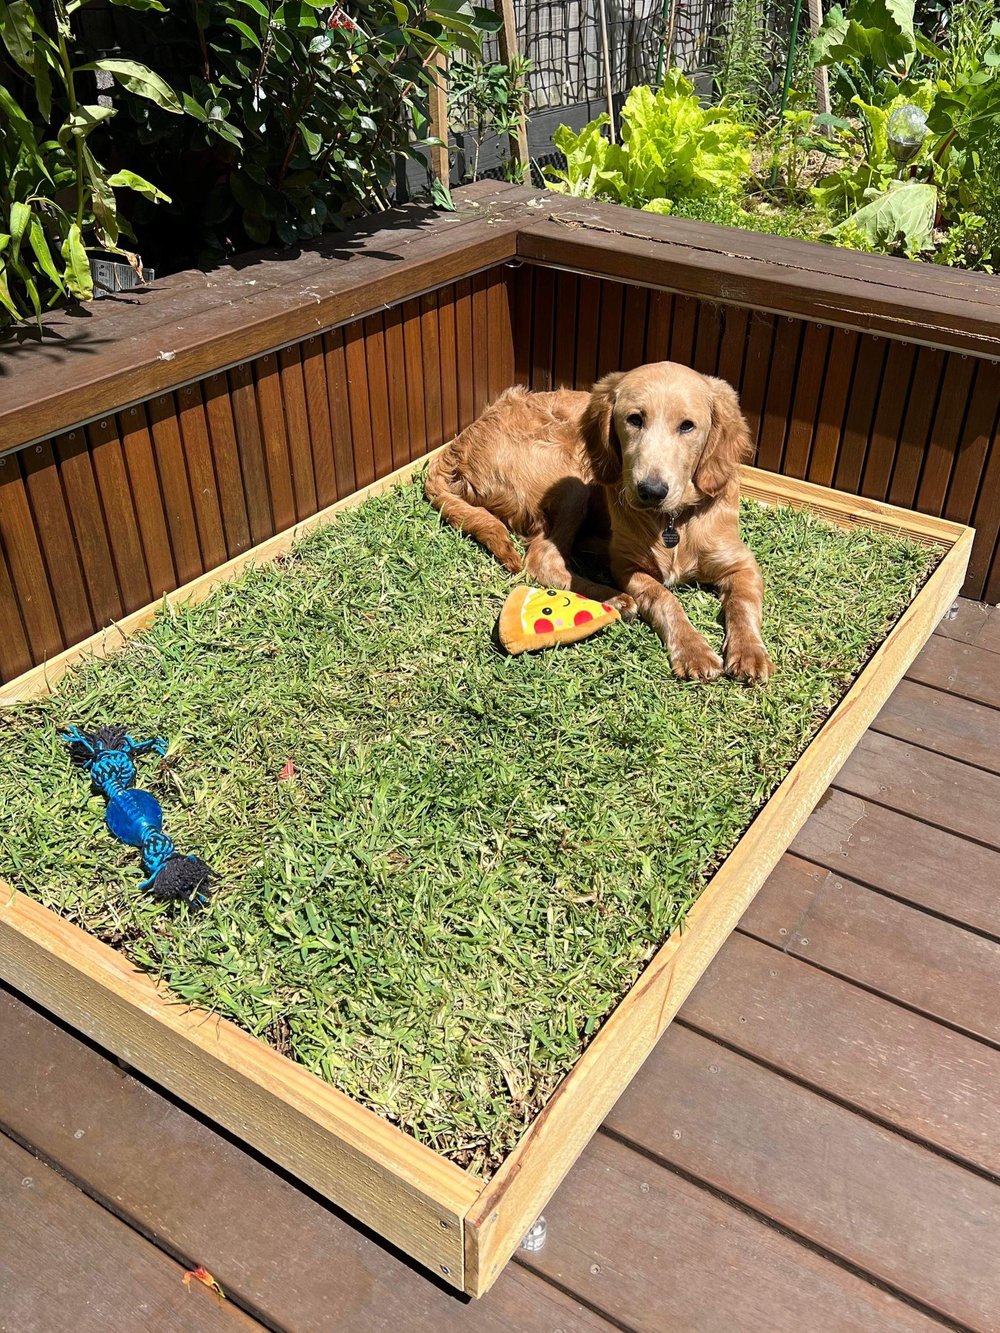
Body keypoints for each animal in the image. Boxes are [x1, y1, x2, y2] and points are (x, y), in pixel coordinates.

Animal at [426, 359, 778, 682]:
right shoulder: (627, 567)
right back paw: (614, 599)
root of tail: (458, 443)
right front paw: (693, 649)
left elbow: (743, 604)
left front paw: (749, 652)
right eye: (634, 419)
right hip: (571, 478)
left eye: (687, 426)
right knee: (544, 559)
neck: (672, 521)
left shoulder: (741, 563)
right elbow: (663, 597)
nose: (651, 491)